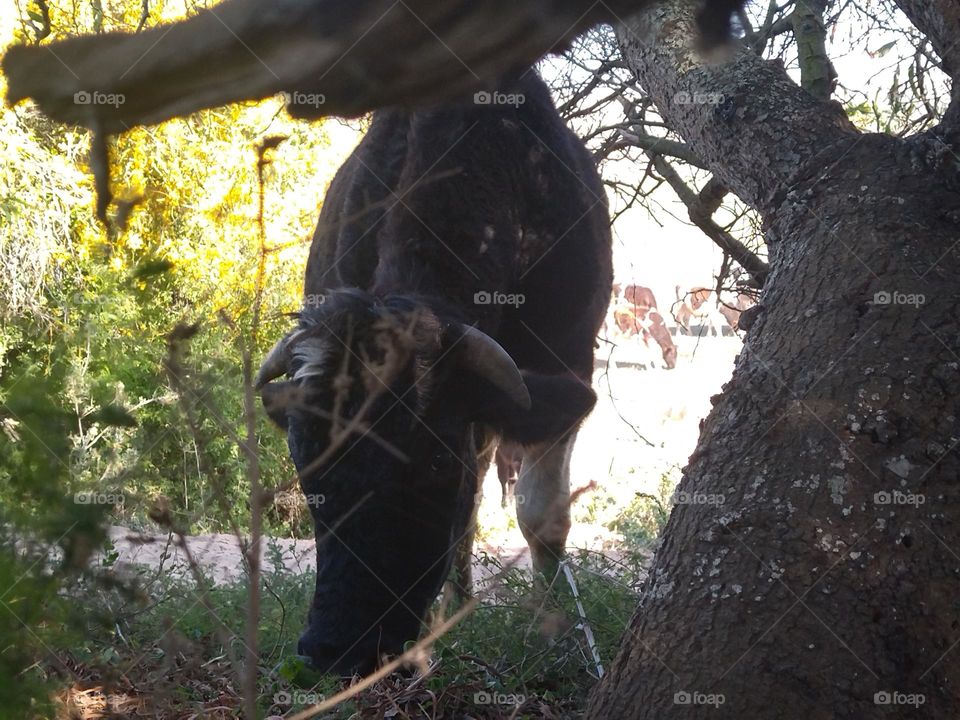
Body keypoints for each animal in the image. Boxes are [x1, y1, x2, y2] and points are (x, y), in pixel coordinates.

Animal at [255, 70, 612, 675]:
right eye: (306, 467)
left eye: (438, 464)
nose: (339, 649)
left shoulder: (565, 363)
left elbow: (541, 517)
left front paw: (554, 635)